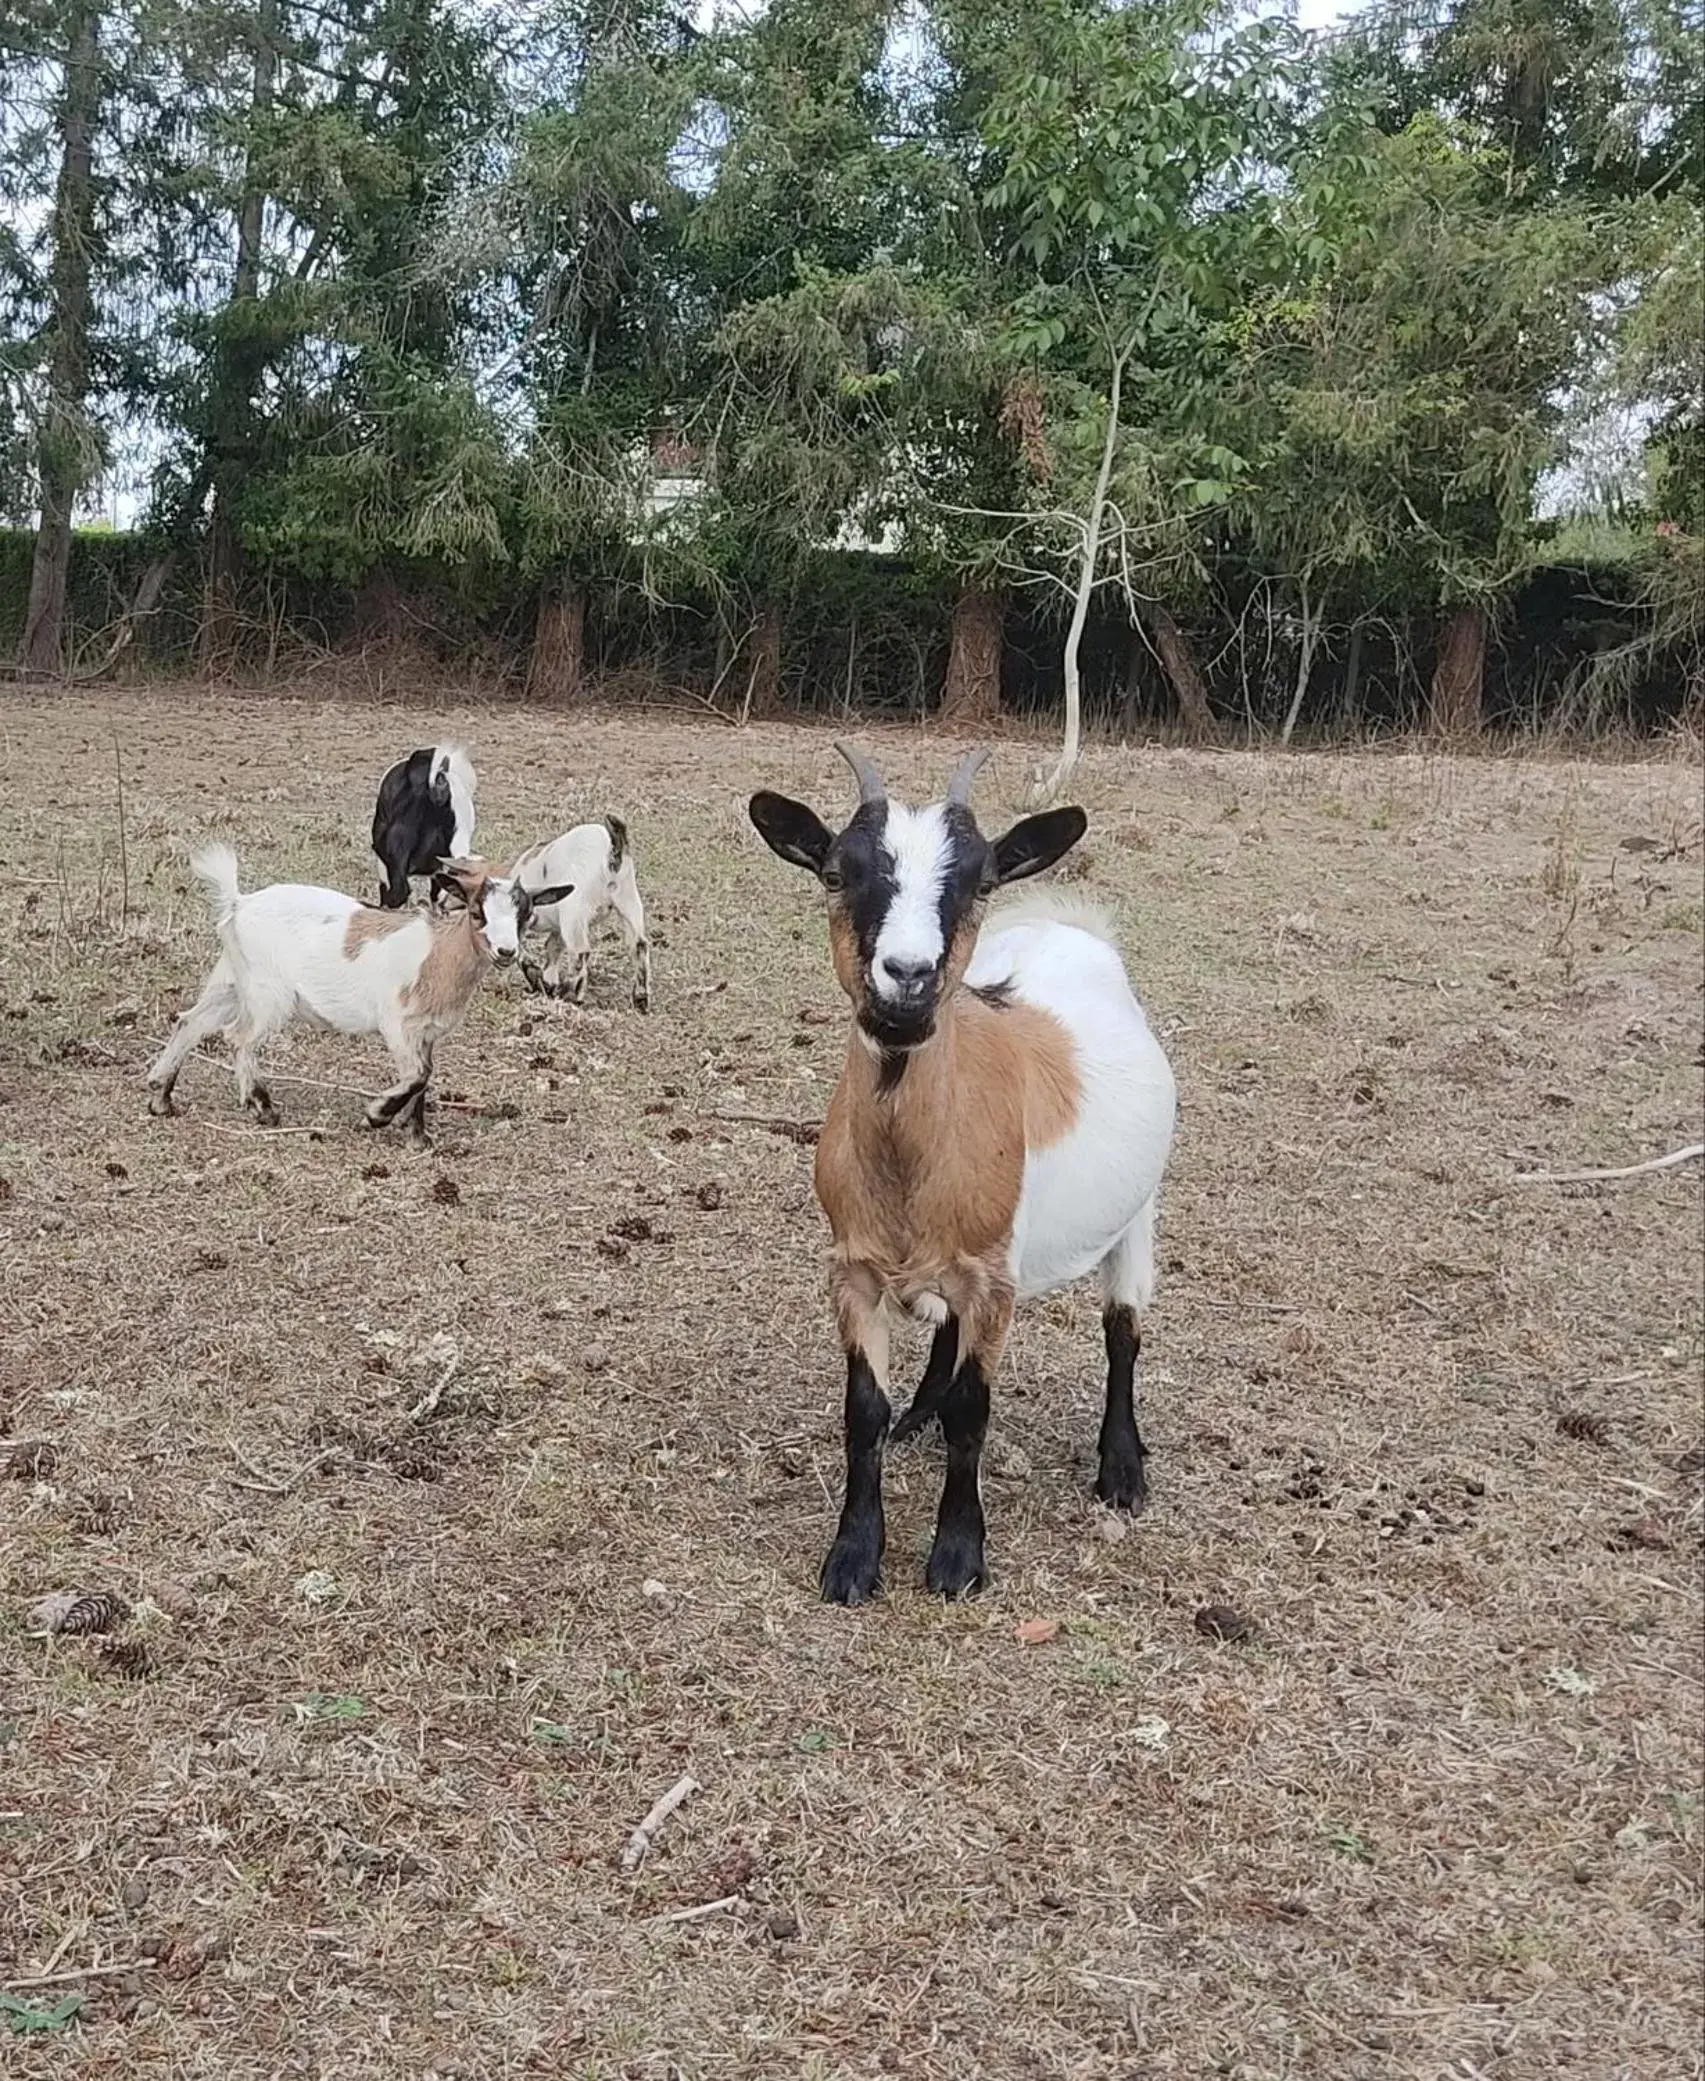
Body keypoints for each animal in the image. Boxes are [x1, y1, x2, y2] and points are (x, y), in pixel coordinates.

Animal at [753, 749, 1182, 1606]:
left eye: (980, 880)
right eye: (834, 872)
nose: (907, 979)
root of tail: (1067, 927)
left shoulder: (996, 1281)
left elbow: (972, 1413)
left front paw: (956, 1557)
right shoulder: (852, 1269)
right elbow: (863, 1410)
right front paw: (852, 1558)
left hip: (1138, 1210)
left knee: (1122, 1328)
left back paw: (1121, 1468)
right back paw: (917, 1413)